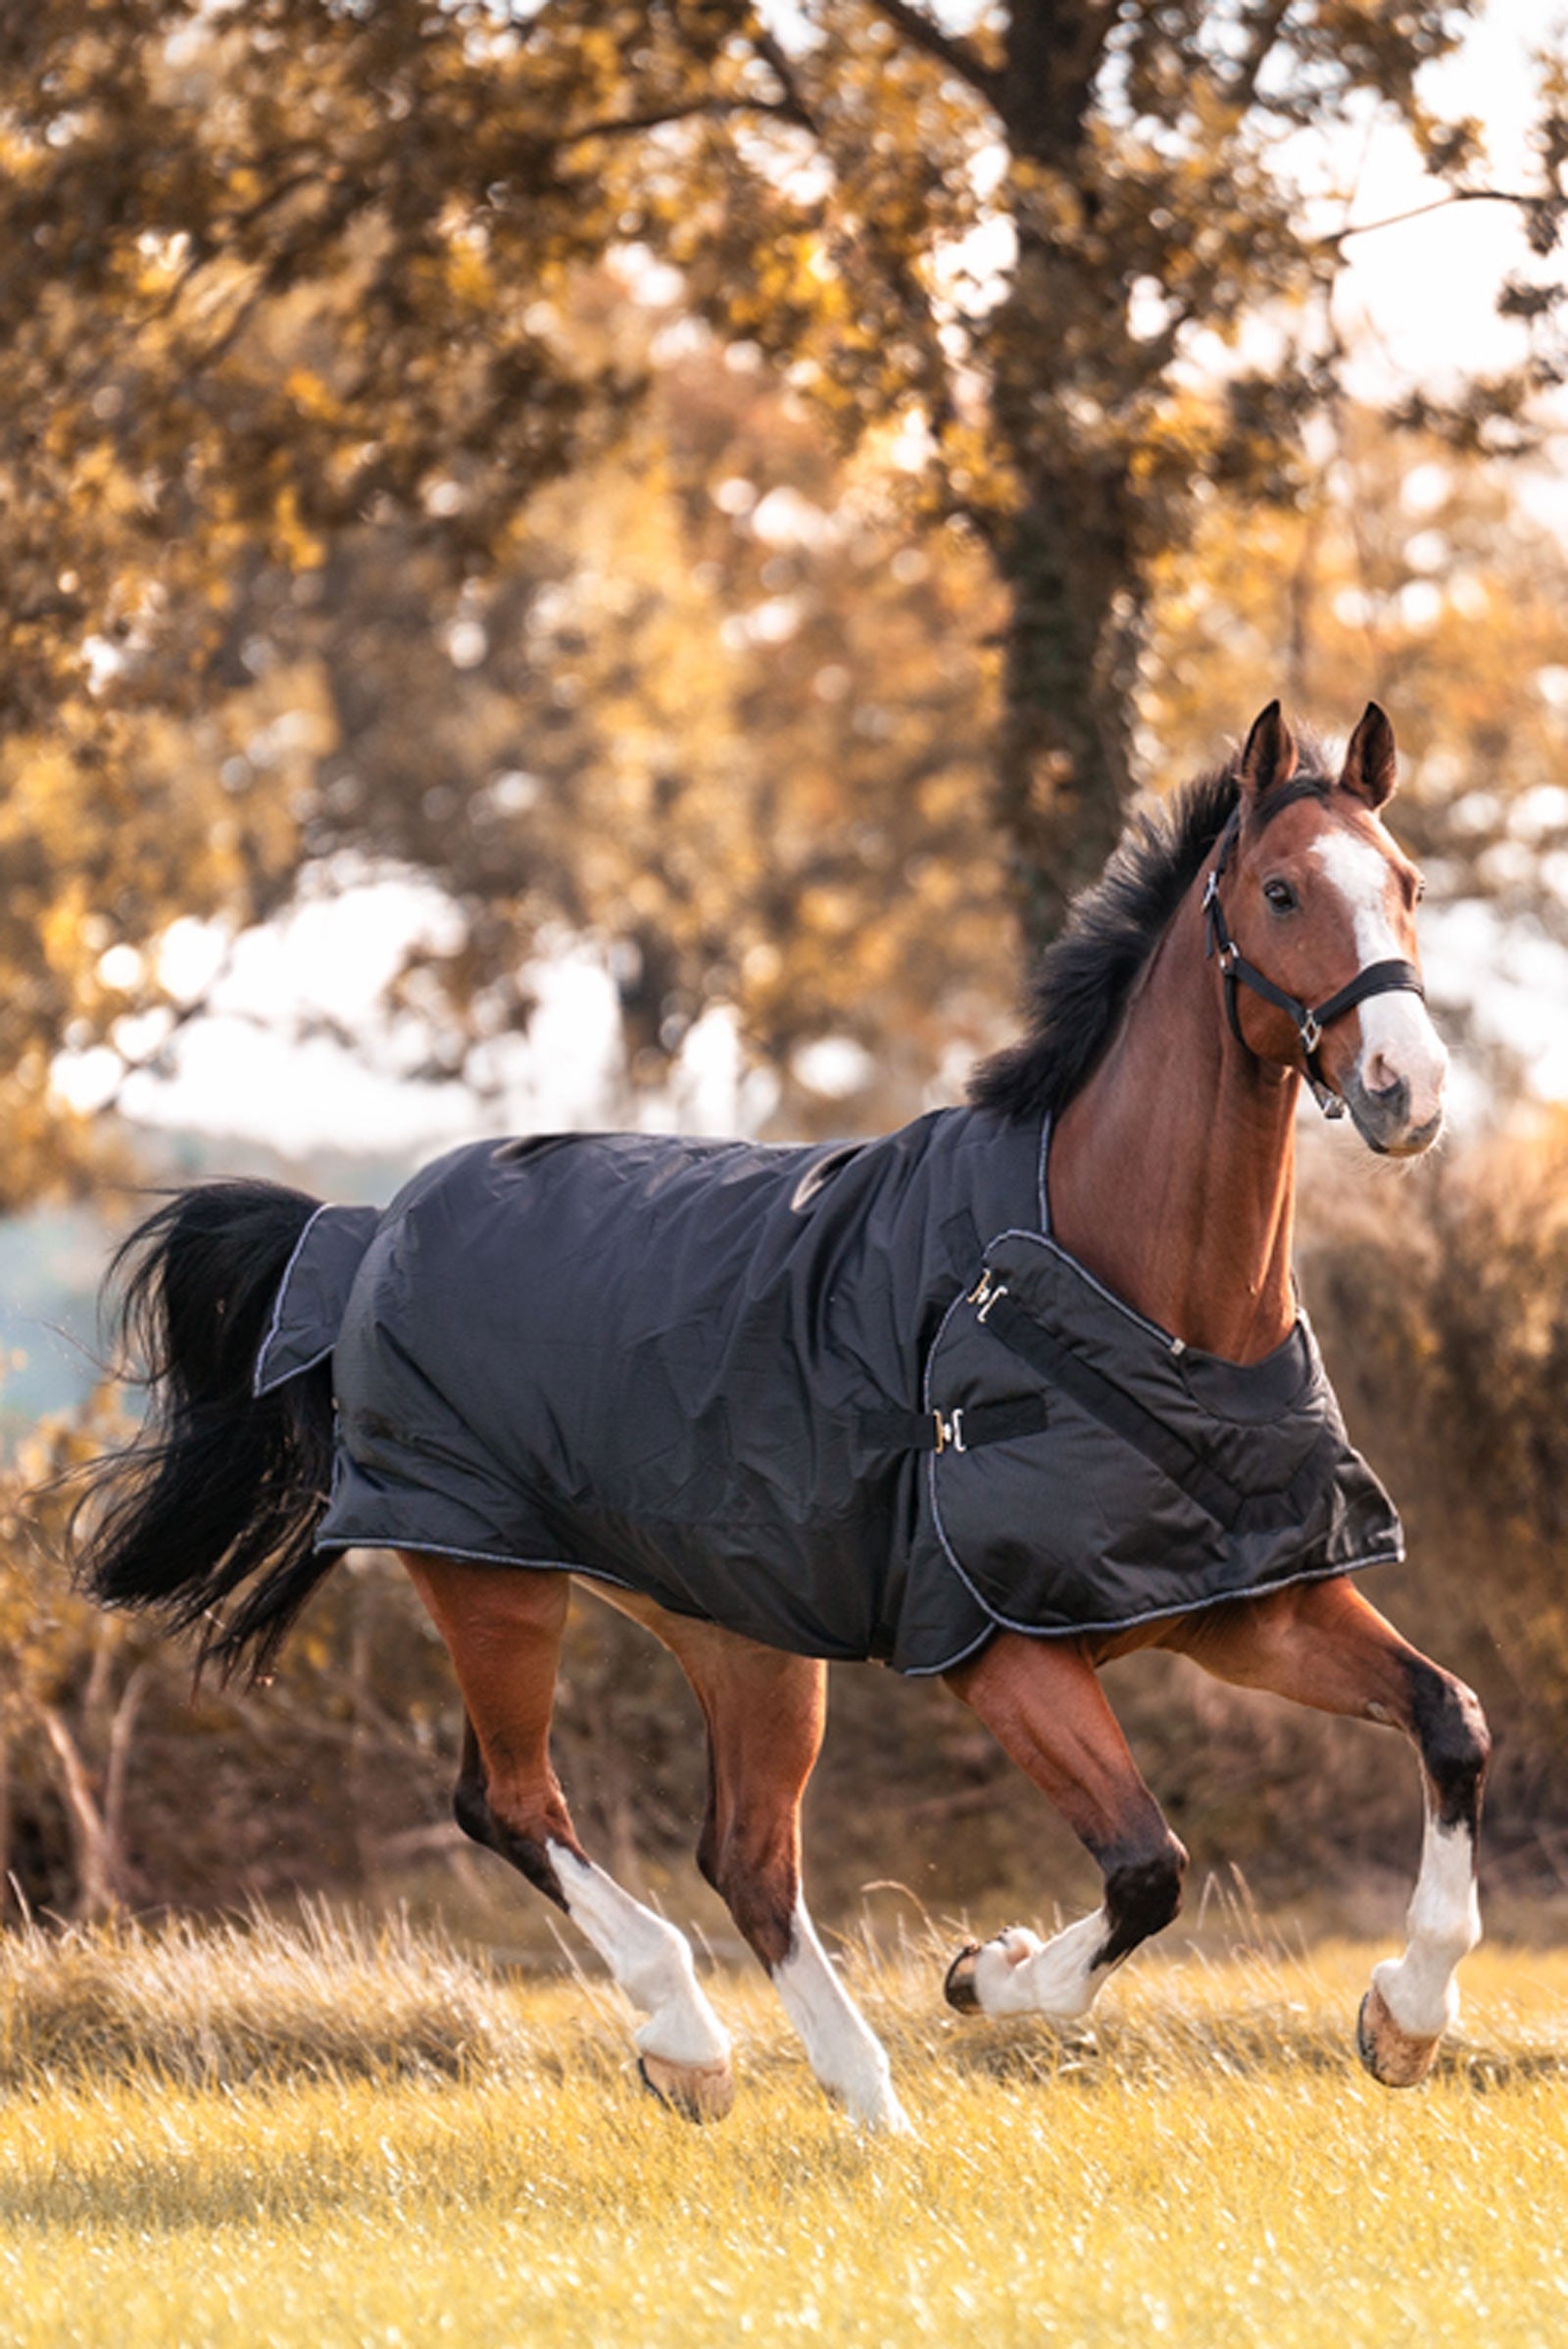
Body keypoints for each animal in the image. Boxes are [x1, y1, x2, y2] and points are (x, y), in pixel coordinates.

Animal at [74, 699, 1487, 2134]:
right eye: (1281, 890)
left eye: (1409, 885)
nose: (1407, 1089)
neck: (1135, 1294)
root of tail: (362, 1231)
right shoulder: (1001, 1651)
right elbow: (1149, 1867)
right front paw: (986, 1973)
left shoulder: (1249, 1604)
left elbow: (1452, 1723)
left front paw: (1404, 2020)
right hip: (493, 1583)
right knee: (512, 1804)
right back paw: (692, 2041)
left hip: (738, 1631)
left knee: (745, 1858)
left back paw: (864, 2110)